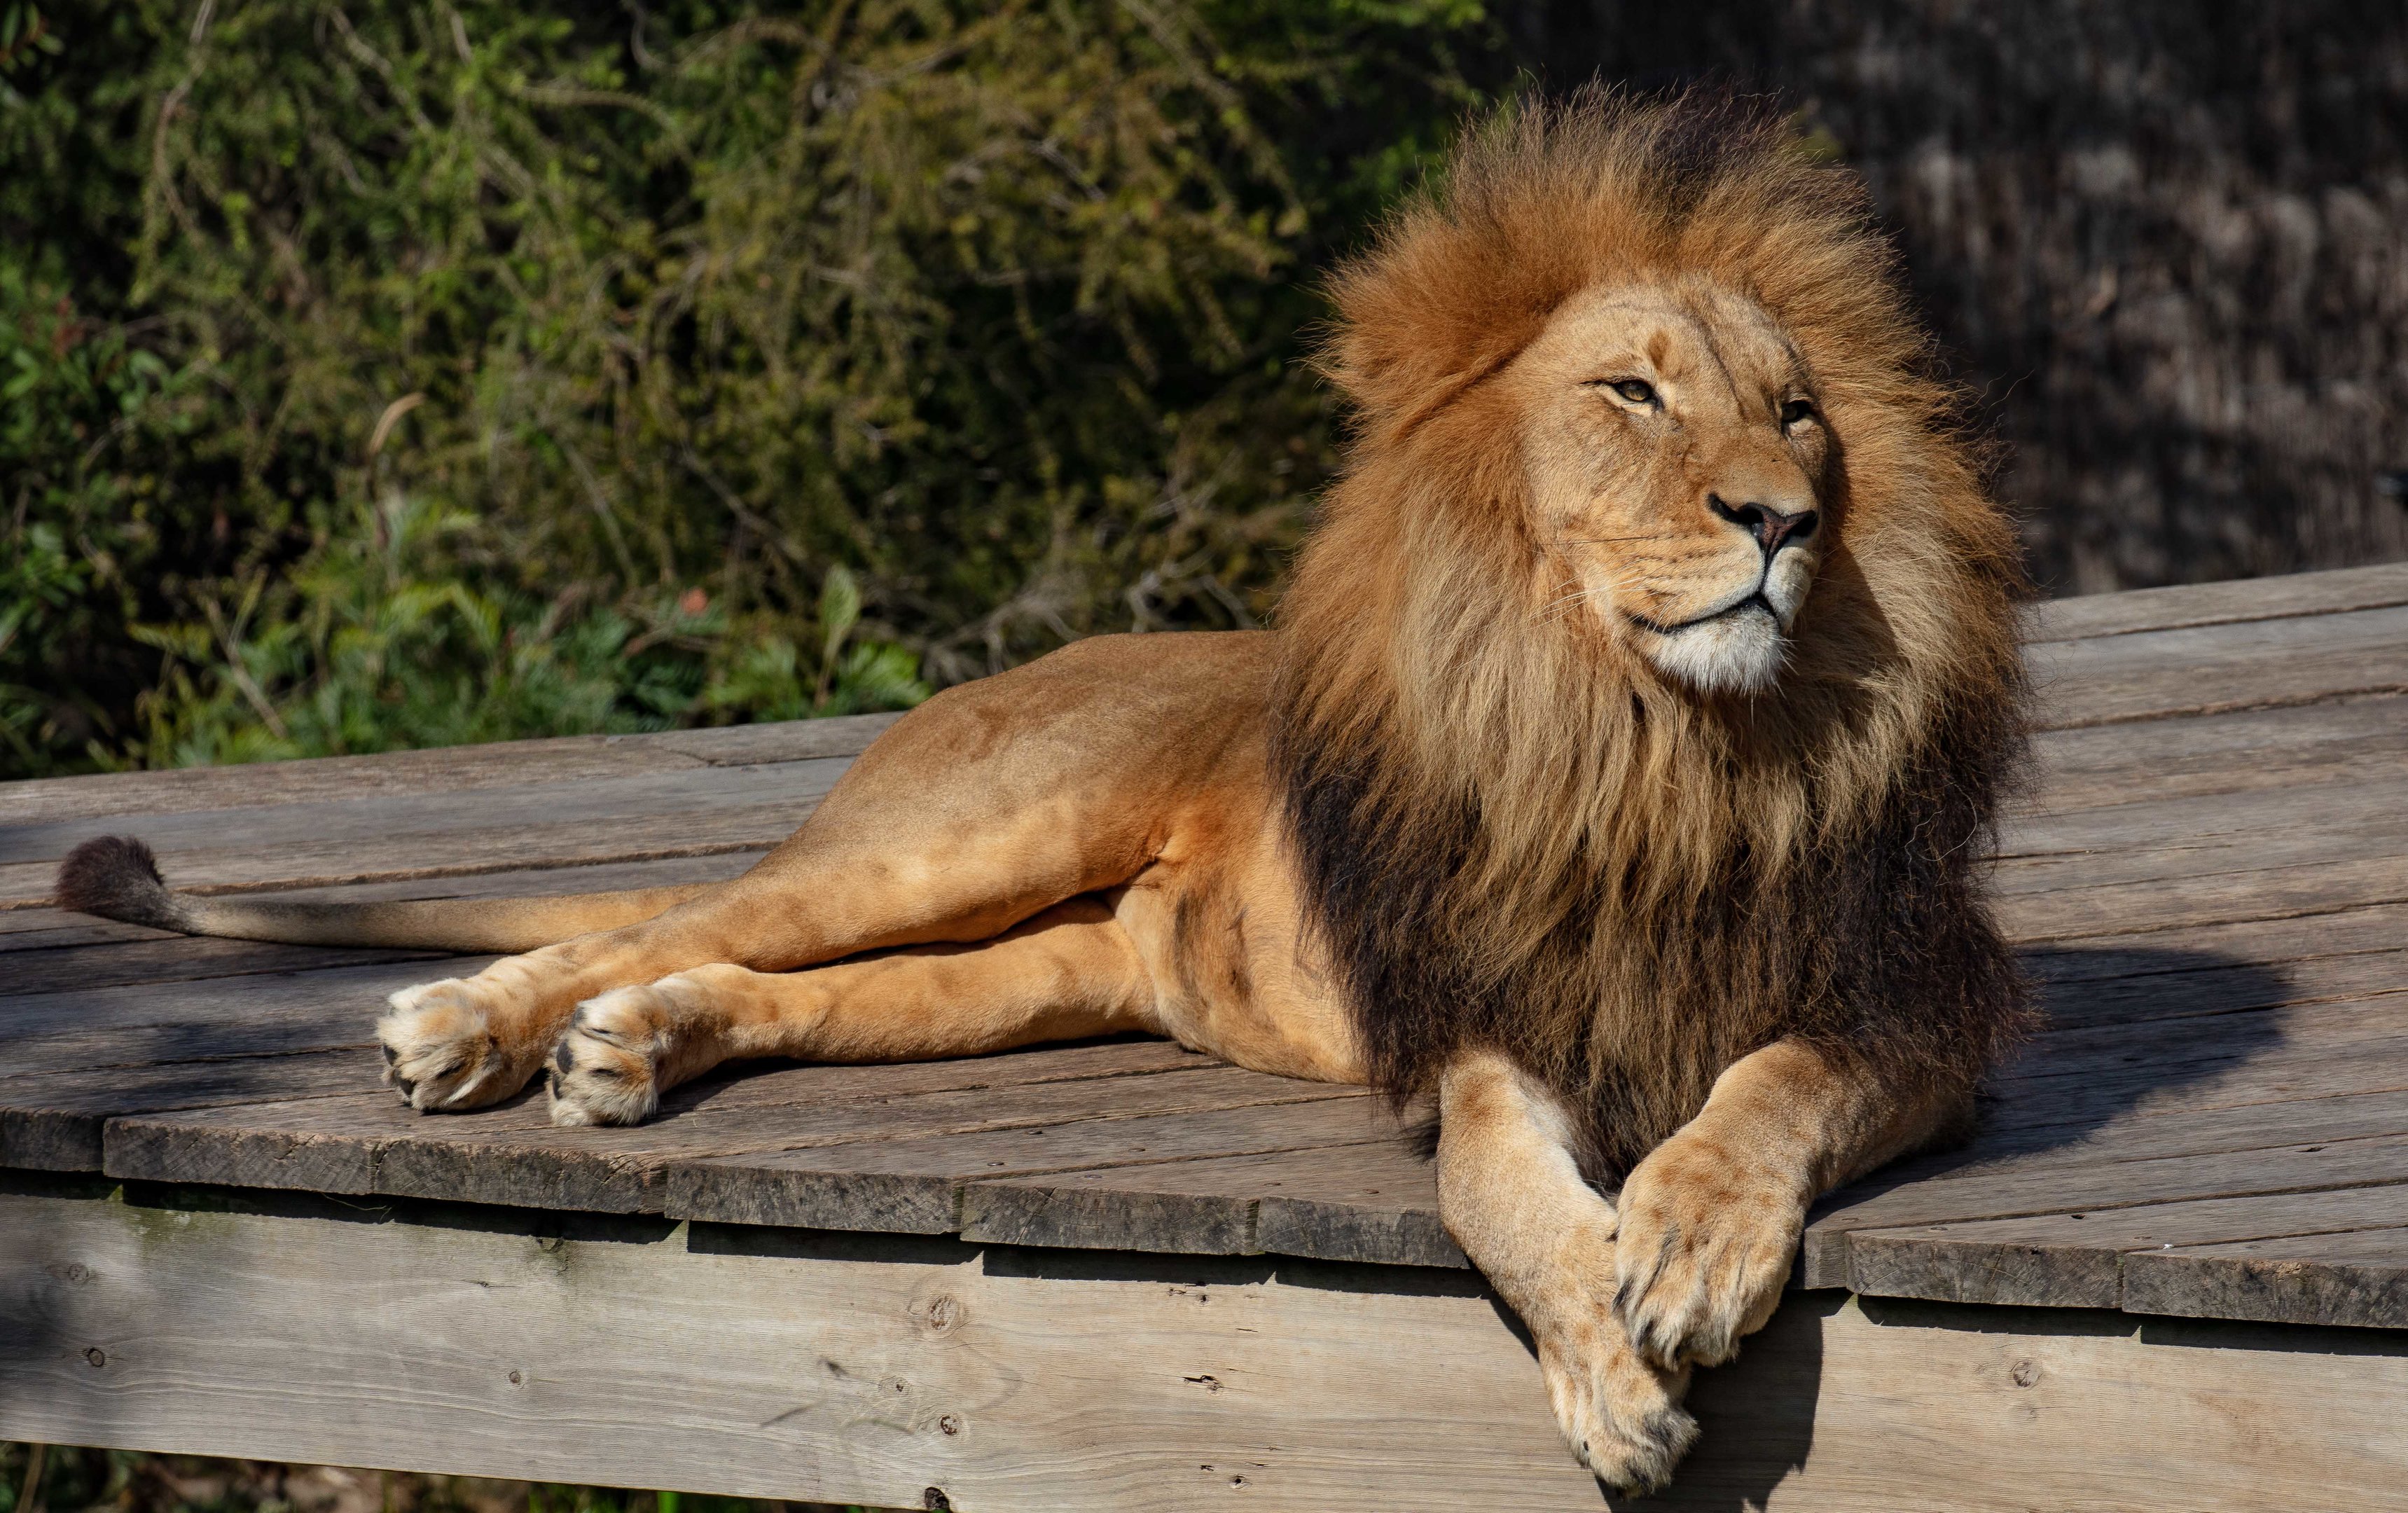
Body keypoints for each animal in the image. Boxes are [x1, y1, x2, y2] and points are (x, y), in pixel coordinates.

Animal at [56, 92, 2029, 1492]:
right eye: (1634, 392)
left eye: (1799, 413)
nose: (1781, 520)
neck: (1658, 750)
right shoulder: (1476, 1030)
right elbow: (1508, 1201)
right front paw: (1616, 1370)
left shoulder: (1923, 1007)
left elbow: (1770, 1086)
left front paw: (1684, 1241)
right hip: (966, 838)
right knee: (675, 912)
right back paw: (466, 1028)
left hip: (1030, 974)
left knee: (767, 982)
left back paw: (631, 1051)